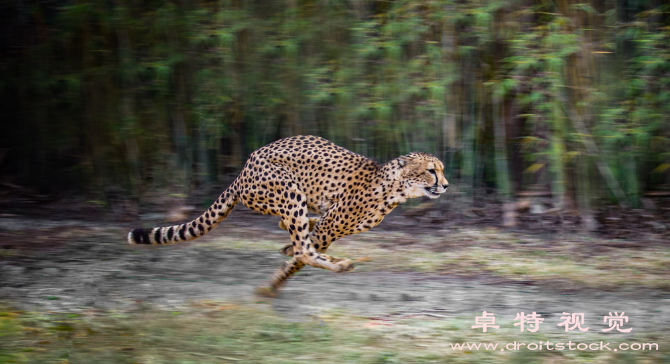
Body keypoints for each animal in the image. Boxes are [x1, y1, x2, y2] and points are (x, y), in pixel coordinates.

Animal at [129, 135, 448, 298]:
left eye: (441, 170)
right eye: (432, 170)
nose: (445, 185)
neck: (395, 188)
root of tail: (246, 164)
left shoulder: (330, 226)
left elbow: (300, 243)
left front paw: (279, 267)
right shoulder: (330, 225)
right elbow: (301, 254)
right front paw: (275, 281)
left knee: (298, 234)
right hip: (289, 191)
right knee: (304, 247)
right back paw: (339, 263)